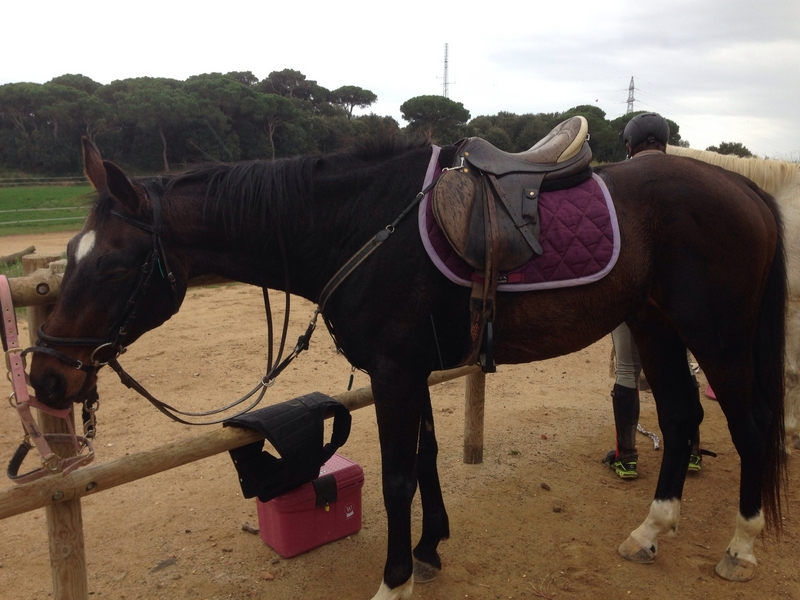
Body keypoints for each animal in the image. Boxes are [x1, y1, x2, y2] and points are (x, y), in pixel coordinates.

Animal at [27, 135, 786, 599]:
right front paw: (430, 549)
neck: (360, 226)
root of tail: (740, 187)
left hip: (716, 336)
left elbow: (396, 479)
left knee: (747, 429)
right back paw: (651, 531)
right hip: (656, 327)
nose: (45, 378)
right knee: (682, 418)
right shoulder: (413, 371)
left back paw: (742, 547)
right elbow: (425, 461)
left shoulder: (394, 372)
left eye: (114, 265)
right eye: (68, 256)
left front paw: (393, 579)